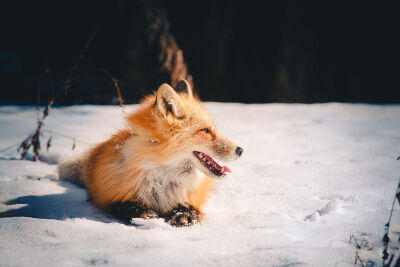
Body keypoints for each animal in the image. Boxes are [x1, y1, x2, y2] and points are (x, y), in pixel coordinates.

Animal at [57, 79, 242, 226]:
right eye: (206, 131)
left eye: (214, 129)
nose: (240, 150)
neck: (163, 180)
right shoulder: (108, 195)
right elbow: (122, 206)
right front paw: (143, 213)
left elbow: (189, 207)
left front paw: (184, 214)